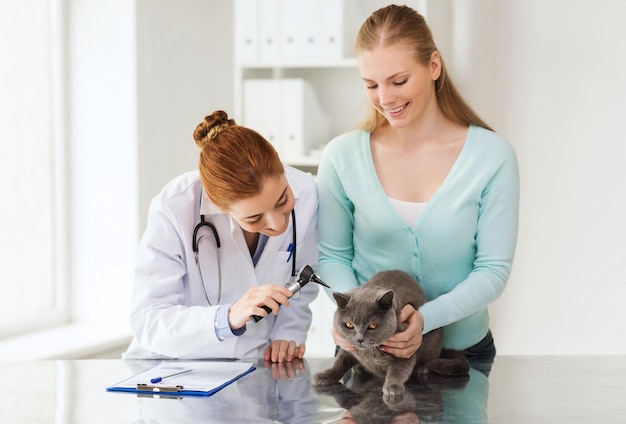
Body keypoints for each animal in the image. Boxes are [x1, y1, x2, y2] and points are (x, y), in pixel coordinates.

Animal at [312, 268, 468, 398]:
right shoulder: (348, 347)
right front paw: (325, 376)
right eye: (349, 325)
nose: (359, 339)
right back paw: (359, 367)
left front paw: (393, 386)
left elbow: (398, 370)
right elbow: (339, 363)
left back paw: (423, 368)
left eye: (372, 325)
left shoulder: (405, 350)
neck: (370, 352)